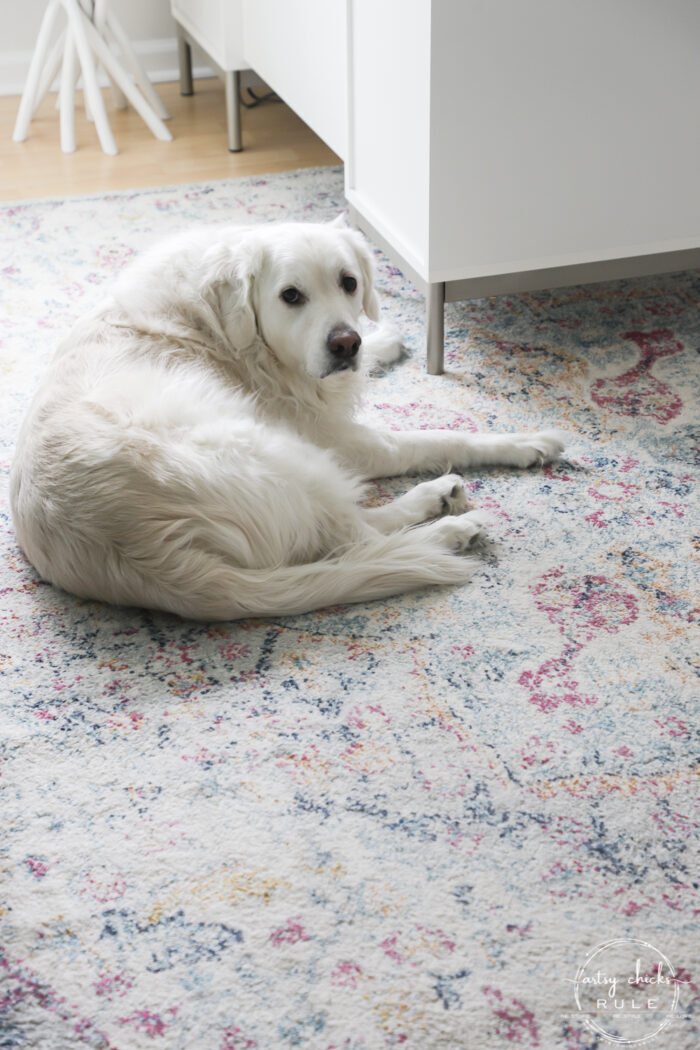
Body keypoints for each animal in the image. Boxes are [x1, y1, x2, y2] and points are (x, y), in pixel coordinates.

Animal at [9, 219, 562, 613]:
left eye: (349, 282)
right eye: (290, 296)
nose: (346, 343)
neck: (220, 324)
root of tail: (147, 558)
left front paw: (383, 340)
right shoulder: (339, 437)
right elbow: (439, 437)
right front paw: (523, 442)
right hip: (280, 453)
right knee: (359, 538)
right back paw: (446, 522)